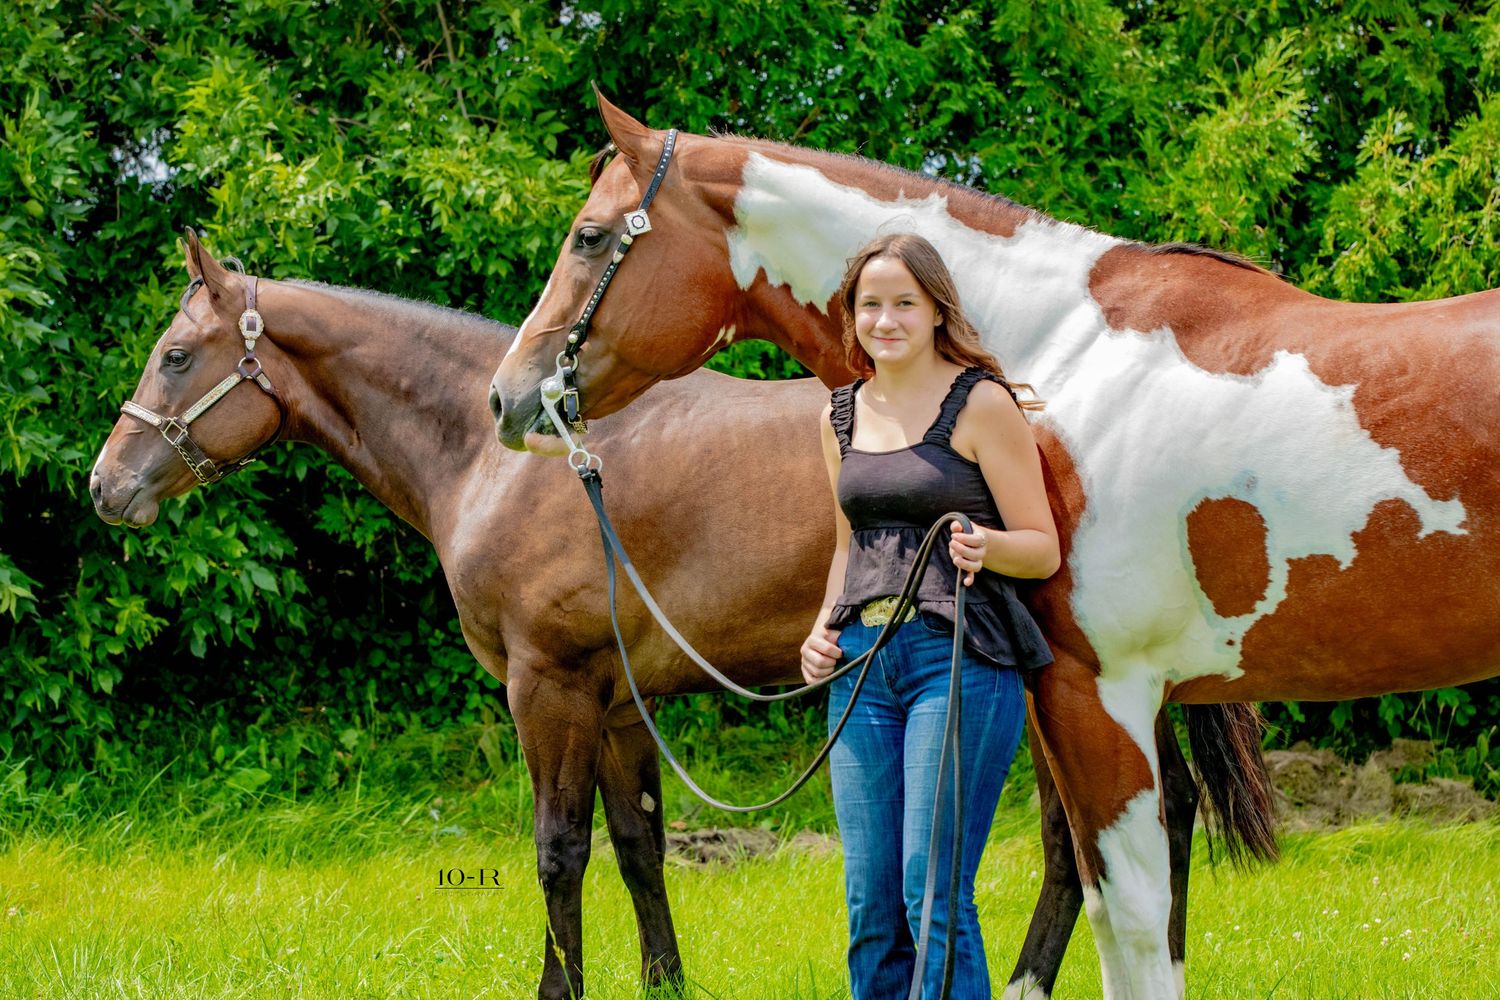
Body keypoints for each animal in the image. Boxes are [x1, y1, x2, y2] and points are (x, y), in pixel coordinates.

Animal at [91, 230, 1235, 1000]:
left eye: (177, 356)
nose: (106, 485)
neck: (504, 460)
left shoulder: (547, 687)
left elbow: (559, 851)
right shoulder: (614, 698)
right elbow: (639, 844)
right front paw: (665, 980)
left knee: (1090, 834)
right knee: (1153, 813)